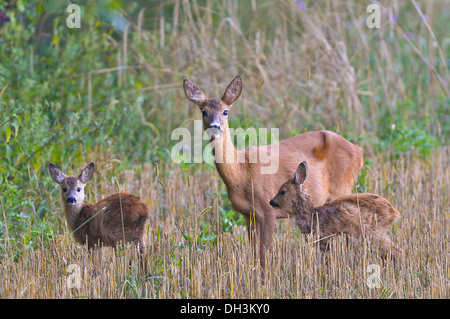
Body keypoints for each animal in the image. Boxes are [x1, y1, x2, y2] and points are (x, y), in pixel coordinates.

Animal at [183, 76, 362, 272]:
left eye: (225, 111)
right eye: (204, 111)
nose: (215, 127)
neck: (242, 173)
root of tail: (358, 151)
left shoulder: (268, 209)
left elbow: (265, 254)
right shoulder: (248, 214)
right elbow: (254, 254)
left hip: (342, 188)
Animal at [268, 162, 402, 258]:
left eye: (283, 191)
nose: (271, 202)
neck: (312, 216)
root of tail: (394, 212)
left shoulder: (325, 239)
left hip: (374, 232)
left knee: (396, 250)